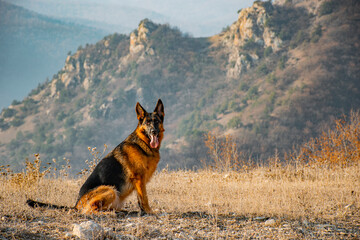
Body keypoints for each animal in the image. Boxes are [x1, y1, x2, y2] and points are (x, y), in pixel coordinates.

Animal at [27, 98, 165, 215]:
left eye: (156, 121)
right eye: (147, 123)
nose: (154, 132)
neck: (142, 143)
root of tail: (76, 205)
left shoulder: (139, 182)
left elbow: (140, 200)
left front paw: (144, 211)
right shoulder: (139, 179)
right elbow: (144, 198)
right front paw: (150, 212)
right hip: (110, 190)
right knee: (90, 211)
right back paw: (110, 213)